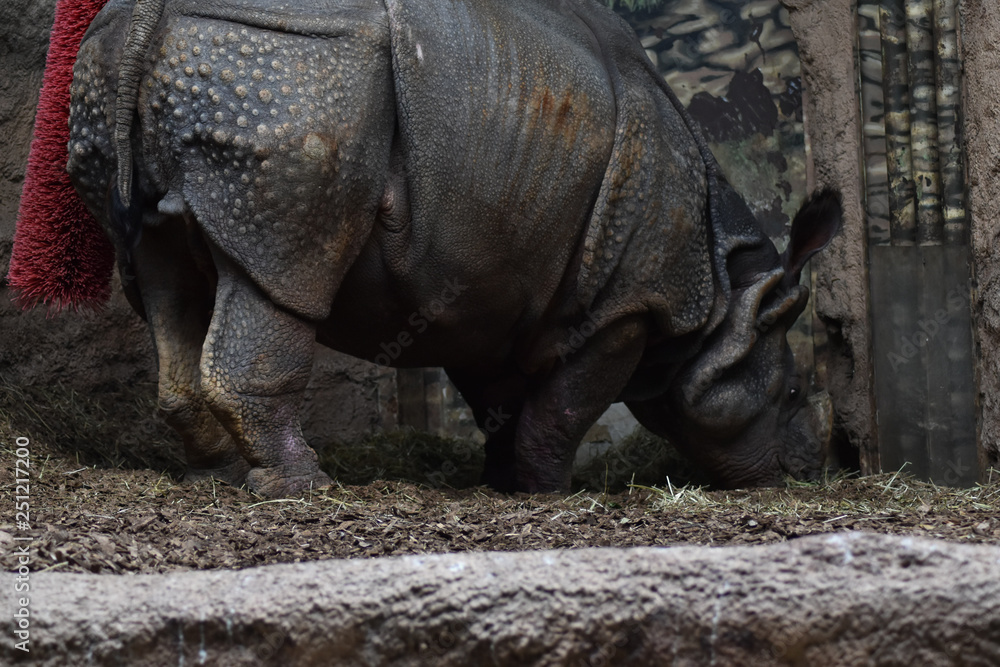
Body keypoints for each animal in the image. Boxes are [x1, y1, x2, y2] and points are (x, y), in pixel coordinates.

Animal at [65, 0, 841, 497]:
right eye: (791, 392)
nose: (806, 471)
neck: (725, 287)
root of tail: (148, 17)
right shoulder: (628, 304)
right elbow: (565, 408)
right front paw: (549, 495)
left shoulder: (487, 295)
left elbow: (503, 404)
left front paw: (501, 485)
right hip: (293, 75)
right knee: (282, 276)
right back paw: (303, 488)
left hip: (137, 75)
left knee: (163, 276)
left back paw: (219, 478)